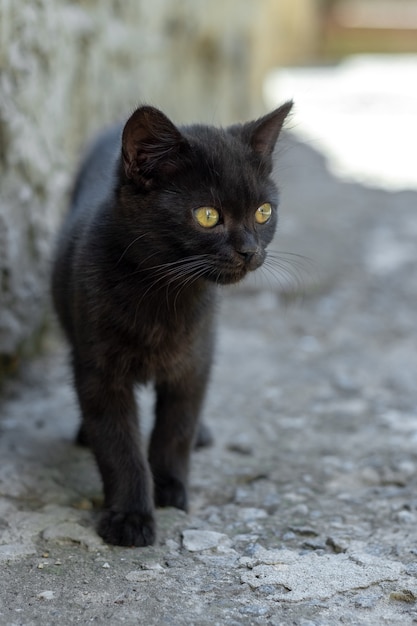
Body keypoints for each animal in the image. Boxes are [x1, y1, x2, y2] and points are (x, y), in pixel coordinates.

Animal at [52, 100, 290, 544]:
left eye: (263, 212)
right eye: (208, 215)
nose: (250, 250)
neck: (163, 295)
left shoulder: (195, 359)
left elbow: (175, 429)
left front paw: (169, 488)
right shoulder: (99, 372)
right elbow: (118, 446)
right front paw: (130, 517)